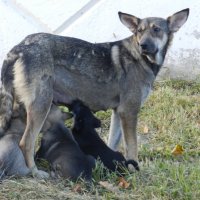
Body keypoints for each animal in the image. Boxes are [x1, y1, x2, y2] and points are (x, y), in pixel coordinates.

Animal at [0, 9, 189, 178]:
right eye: (139, 31)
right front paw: (134, 174)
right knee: (26, 143)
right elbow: (132, 148)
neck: (140, 58)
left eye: (156, 29)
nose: (143, 45)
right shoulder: (129, 112)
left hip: (23, 108)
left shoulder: (118, 113)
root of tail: (19, 47)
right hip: (41, 105)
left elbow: (112, 143)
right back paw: (35, 172)